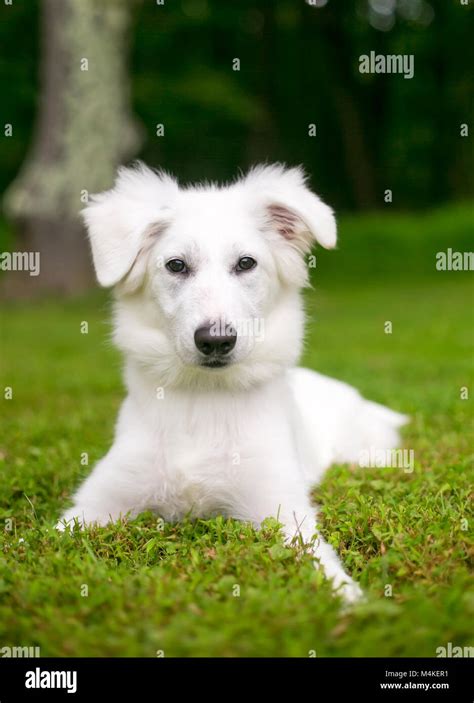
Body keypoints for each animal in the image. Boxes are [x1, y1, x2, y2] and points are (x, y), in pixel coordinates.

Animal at [57, 162, 406, 604]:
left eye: (246, 263)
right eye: (176, 265)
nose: (215, 341)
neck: (202, 403)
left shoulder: (286, 513)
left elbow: (324, 565)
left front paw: (353, 603)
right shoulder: (93, 506)